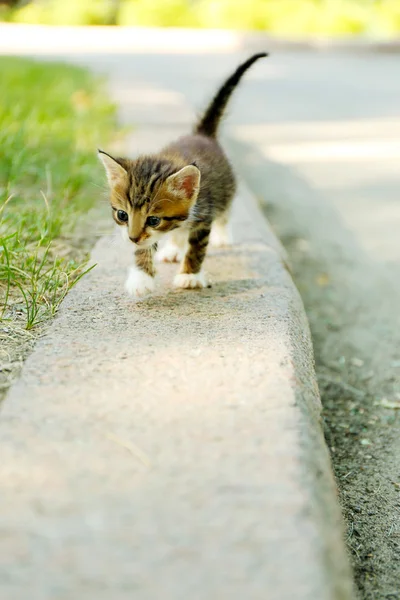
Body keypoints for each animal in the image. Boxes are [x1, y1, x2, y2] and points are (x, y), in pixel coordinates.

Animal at [99, 52, 268, 298]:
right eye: (122, 215)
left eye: (154, 219)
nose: (132, 238)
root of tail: (202, 134)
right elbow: (145, 248)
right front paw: (141, 278)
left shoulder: (204, 215)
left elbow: (196, 249)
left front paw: (189, 275)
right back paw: (173, 248)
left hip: (226, 189)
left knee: (225, 213)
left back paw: (222, 236)